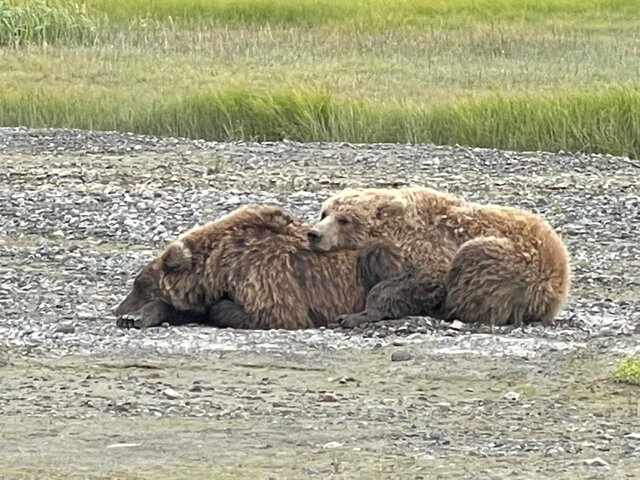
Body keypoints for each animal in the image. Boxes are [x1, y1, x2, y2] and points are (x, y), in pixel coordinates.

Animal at [308, 186, 572, 328]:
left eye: (344, 219)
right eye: (324, 213)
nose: (314, 234)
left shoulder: (429, 249)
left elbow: (423, 280)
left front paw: (354, 315)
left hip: (518, 265)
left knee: (474, 265)